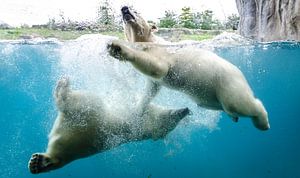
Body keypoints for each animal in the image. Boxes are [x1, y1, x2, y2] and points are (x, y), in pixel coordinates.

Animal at [27, 78, 188, 174]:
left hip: (89, 115)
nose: (185, 110)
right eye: (174, 120)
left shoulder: (140, 117)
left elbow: (140, 104)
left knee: (76, 103)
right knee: (58, 154)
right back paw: (38, 163)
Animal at [107, 39, 270, 130]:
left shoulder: (166, 55)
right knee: (215, 105)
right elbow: (151, 88)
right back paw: (233, 117)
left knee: (238, 104)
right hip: (211, 94)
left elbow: (159, 68)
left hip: (227, 83)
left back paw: (262, 123)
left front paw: (117, 47)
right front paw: (137, 111)